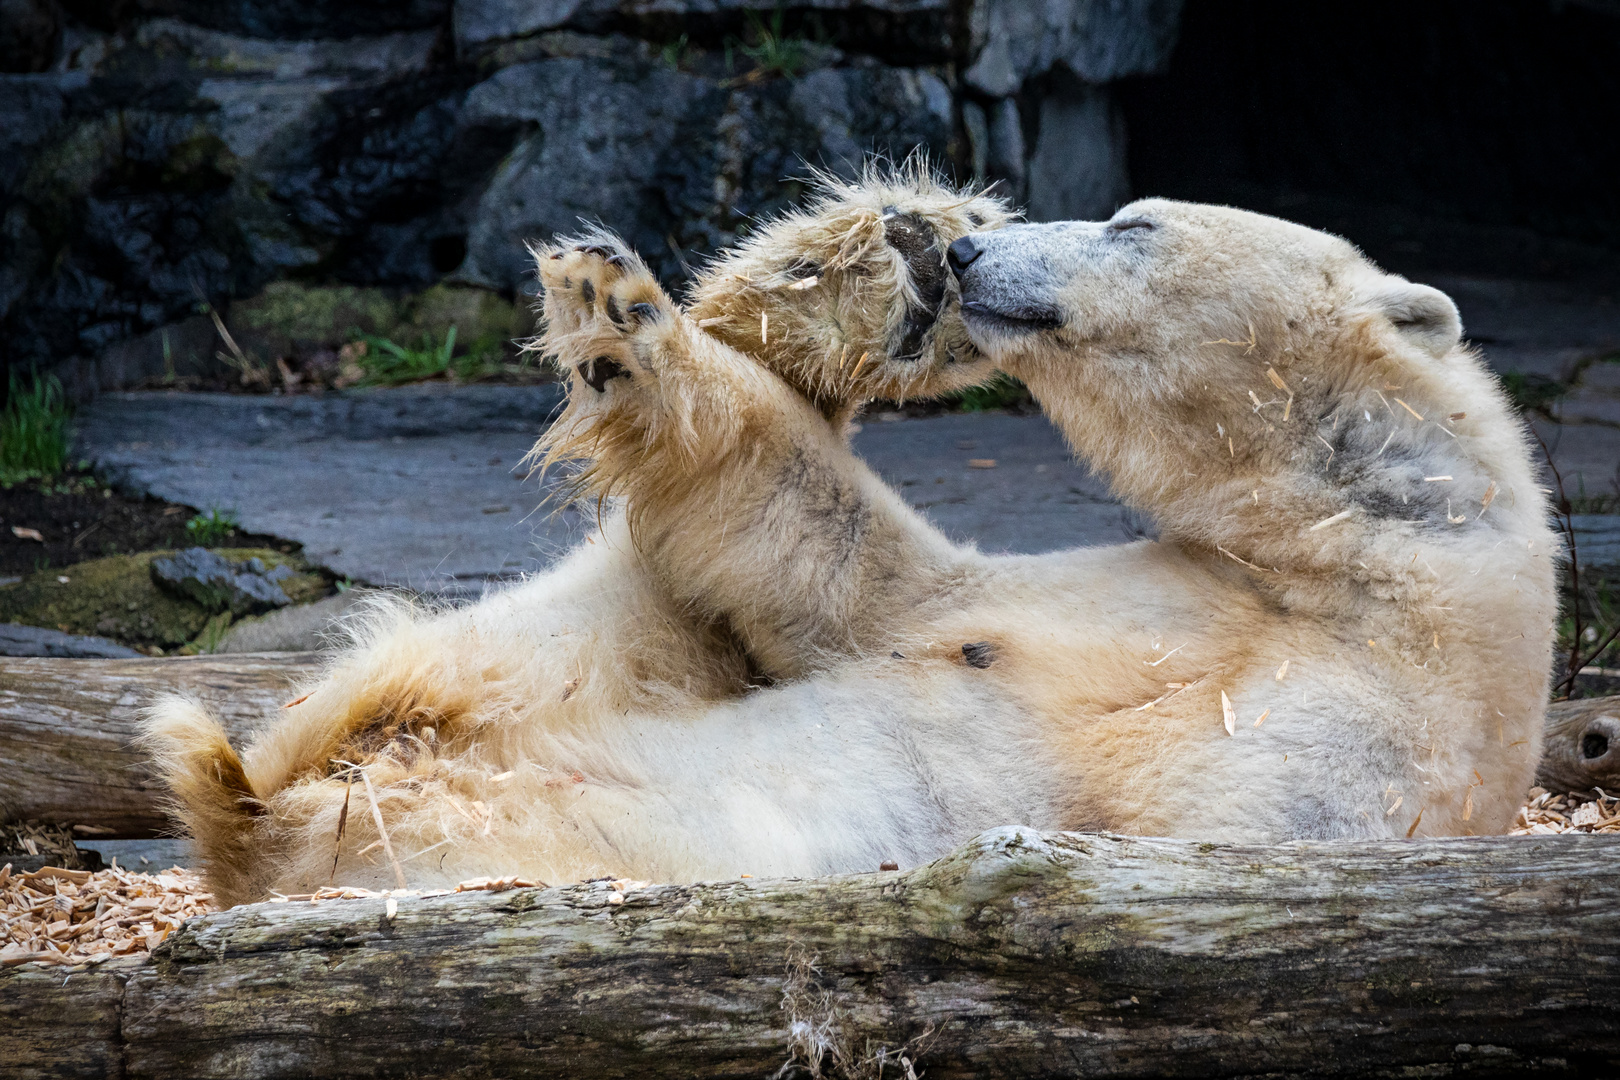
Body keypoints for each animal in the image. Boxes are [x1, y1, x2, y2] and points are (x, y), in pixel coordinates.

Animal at [149, 186, 1555, 906]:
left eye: (1135, 224)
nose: (980, 251)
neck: (1370, 587)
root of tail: (268, 829)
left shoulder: (1340, 764)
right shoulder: (1155, 597)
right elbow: (854, 586)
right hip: (541, 664)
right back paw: (815, 291)